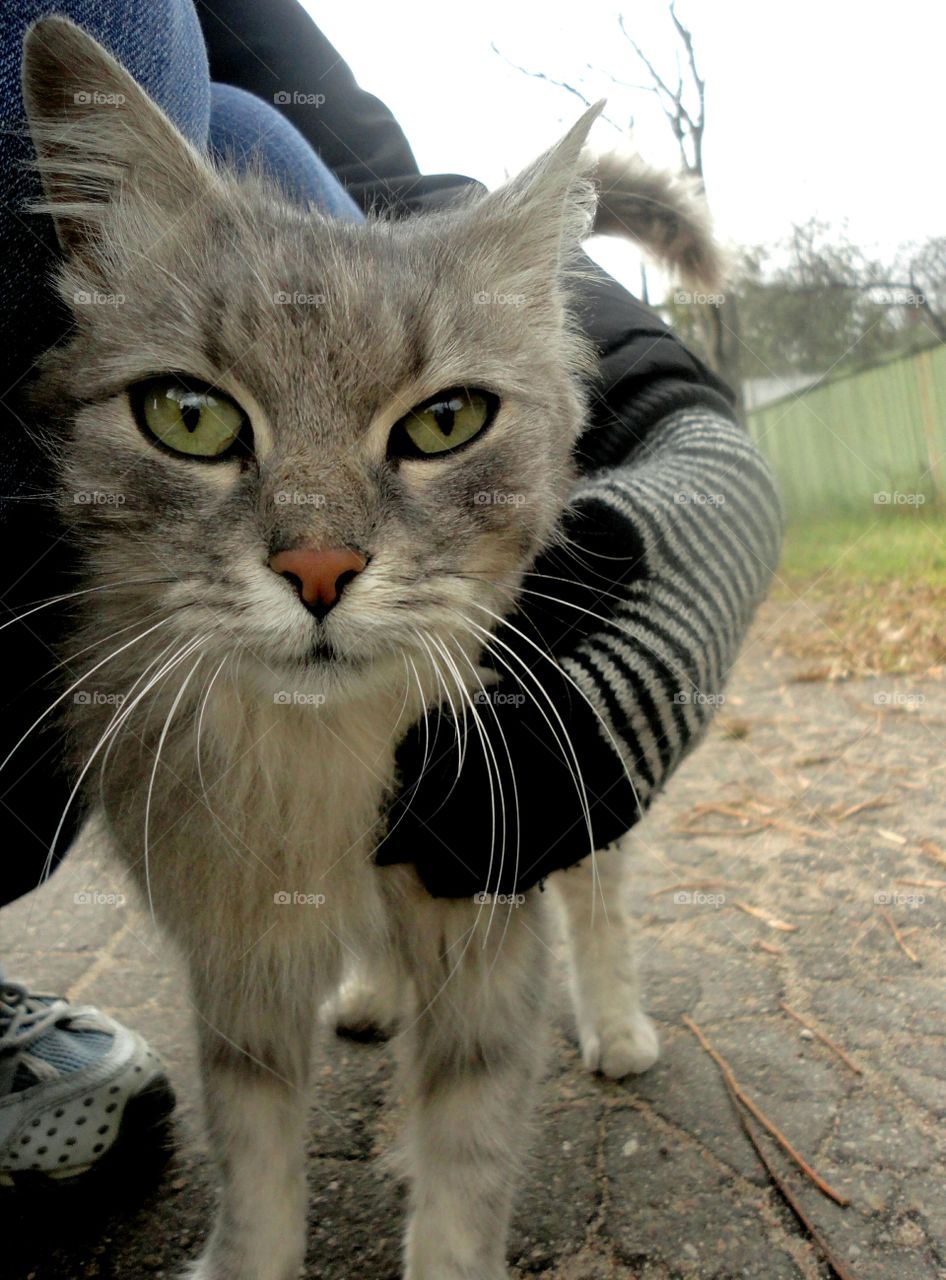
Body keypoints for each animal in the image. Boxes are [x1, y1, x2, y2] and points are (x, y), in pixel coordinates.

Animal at [20, 20, 716, 1280]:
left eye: (445, 422)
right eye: (188, 415)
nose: (317, 570)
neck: (319, 762)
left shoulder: (488, 915)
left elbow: (462, 1176)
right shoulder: (236, 958)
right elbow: (254, 1168)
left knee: (599, 897)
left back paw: (618, 1023)